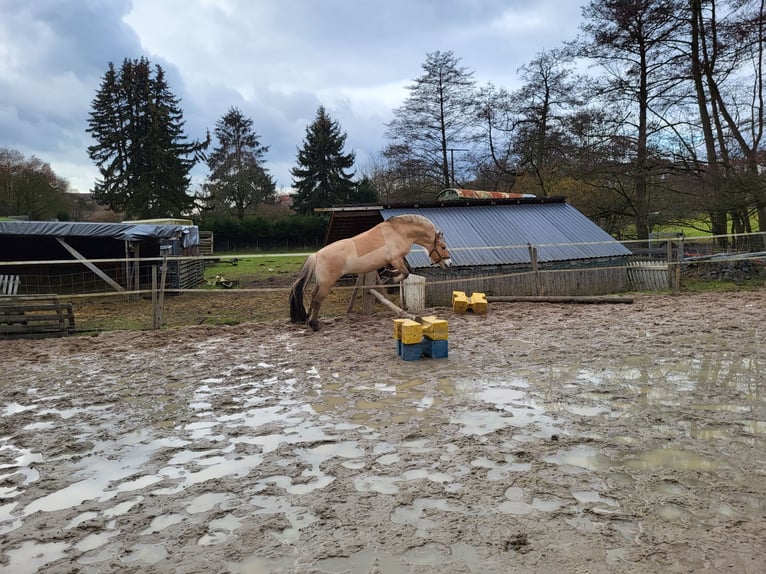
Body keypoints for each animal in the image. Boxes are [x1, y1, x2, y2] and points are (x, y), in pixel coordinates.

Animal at [292, 215, 452, 332]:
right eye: (443, 247)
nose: (449, 264)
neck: (399, 232)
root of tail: (316, 255)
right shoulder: (395, 259)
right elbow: (406, 273)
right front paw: (391, 278)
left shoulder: (399, 259)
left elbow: (408, 270)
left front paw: (388, 274)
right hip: (327, 284)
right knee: (318, 300)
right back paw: (314, 325)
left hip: (320, 283)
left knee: (313, 297)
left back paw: (307, 319)